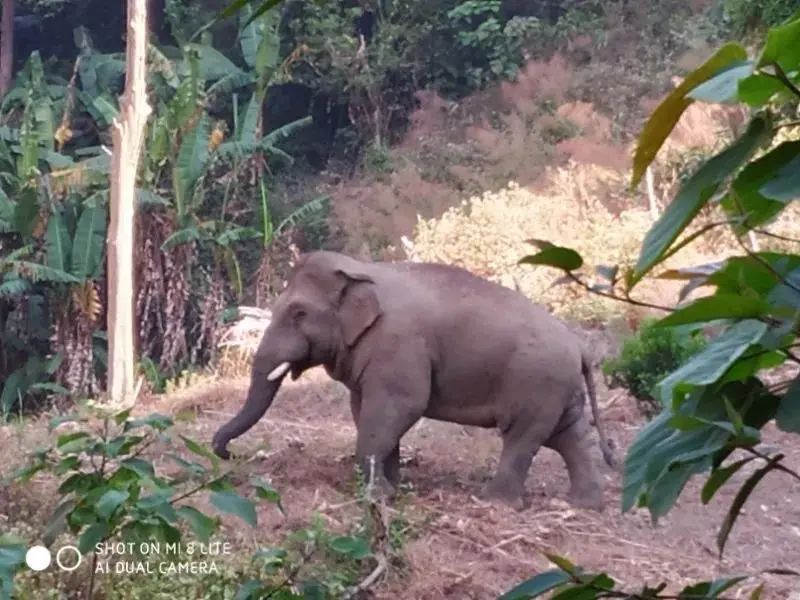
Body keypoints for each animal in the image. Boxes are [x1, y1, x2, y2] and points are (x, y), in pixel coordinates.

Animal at [211, 251, 612, 508]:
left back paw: (495, 503)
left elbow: (399, 407)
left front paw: (375, 497)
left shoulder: (399, 345)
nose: (230, 453)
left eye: (298, 313)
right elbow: (365, 411)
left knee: (523, 435)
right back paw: (584, 504)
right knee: (568, 435)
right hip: (558, 389)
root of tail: (579, 345)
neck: (362, 269)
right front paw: (391, 490)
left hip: (537, 384)